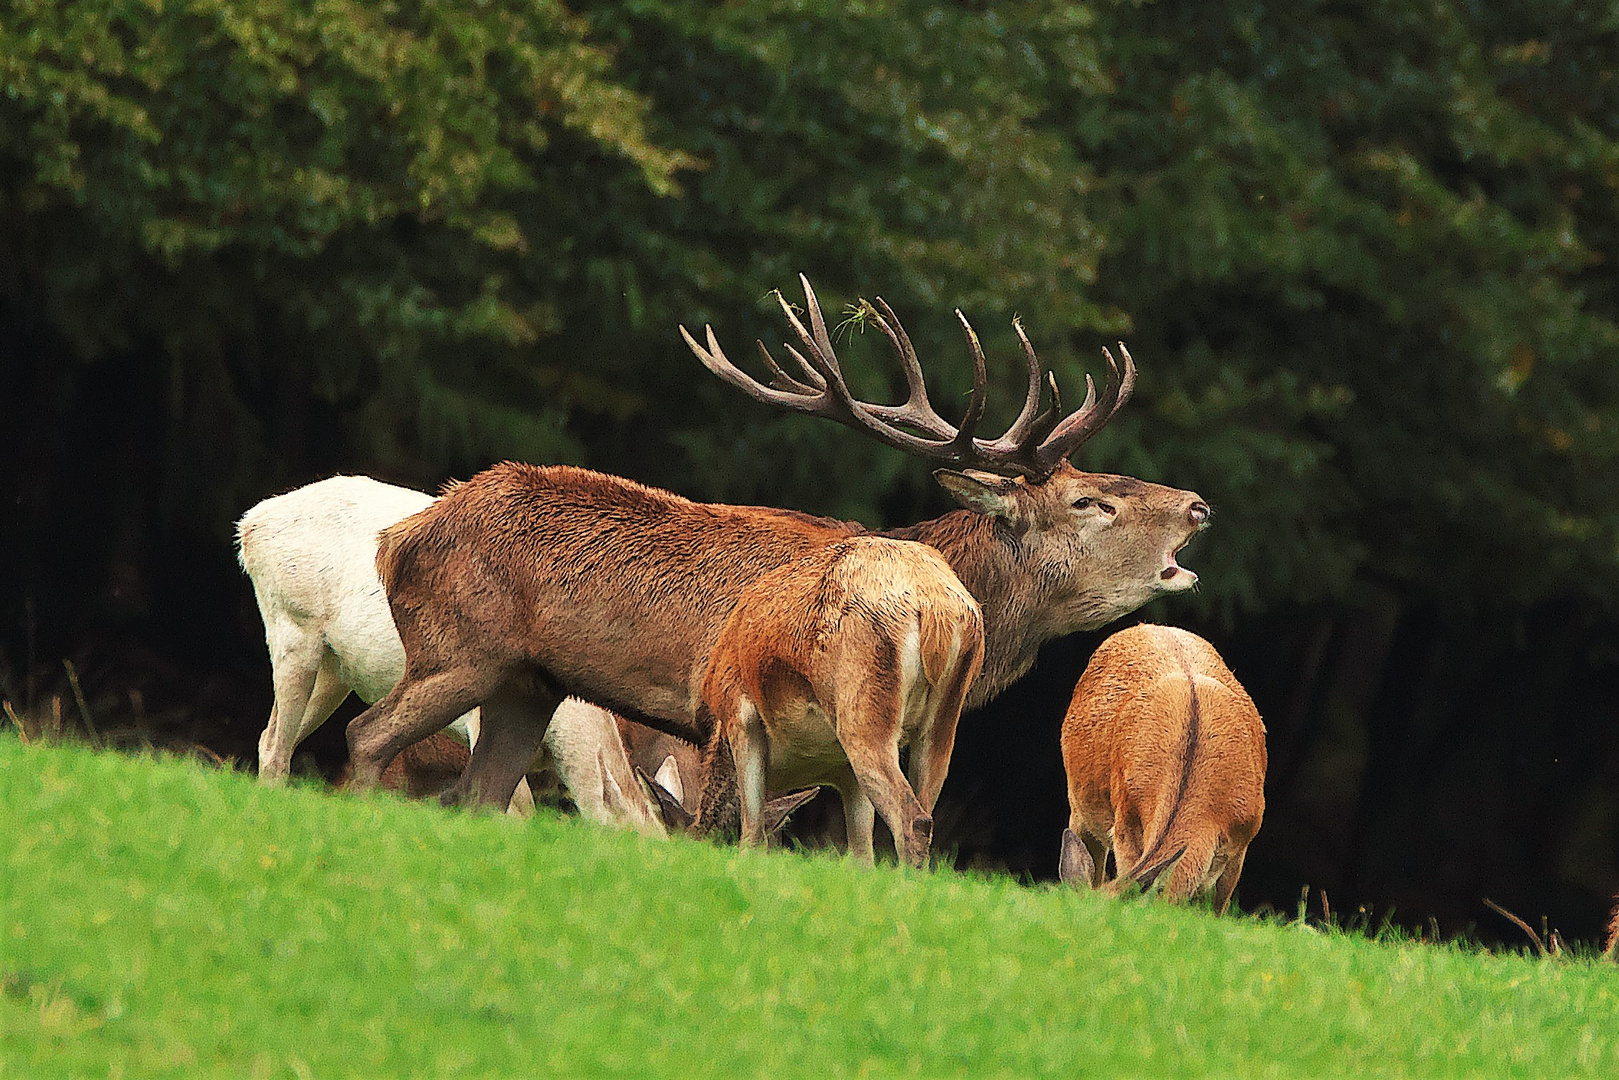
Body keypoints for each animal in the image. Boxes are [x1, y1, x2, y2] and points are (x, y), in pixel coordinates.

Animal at [341, 275, 1211, 816]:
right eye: (1087, 501)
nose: (1197, 505)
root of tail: (395, 540)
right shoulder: (716, 724)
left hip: (526, 681)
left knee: (478, 793)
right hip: (458, 648)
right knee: (366, 734)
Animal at [699, 537, 977, 867]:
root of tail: (937, 608)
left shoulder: (739, 714)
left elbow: (751, 835)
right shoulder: (846, 772)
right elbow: (862, 854)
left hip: (862, 709)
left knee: (914, 820)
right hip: (943, 718)